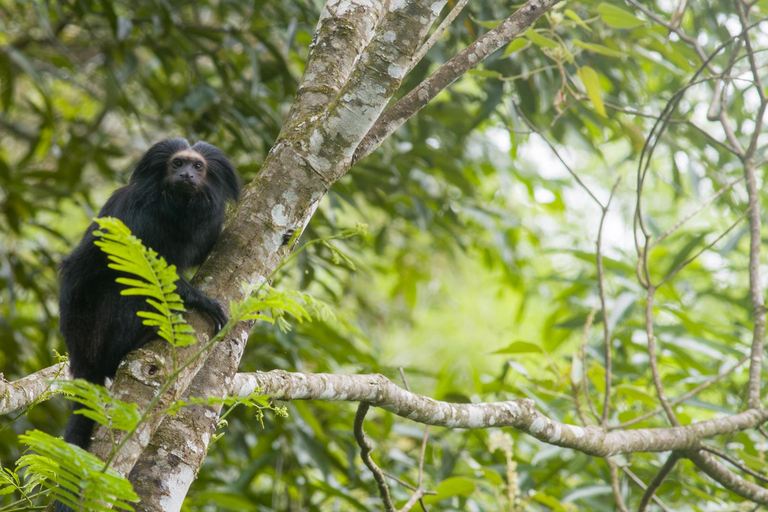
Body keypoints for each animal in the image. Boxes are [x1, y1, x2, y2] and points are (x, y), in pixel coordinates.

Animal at [57, 138, 240, 454]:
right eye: (177, 164)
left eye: (198, 166)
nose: (186, 175)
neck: (177, 208)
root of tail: (80, 357)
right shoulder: (139, 214)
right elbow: (140, 270)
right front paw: (202, 300)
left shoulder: (207, 224)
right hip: (94, 332)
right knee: (124, 287)